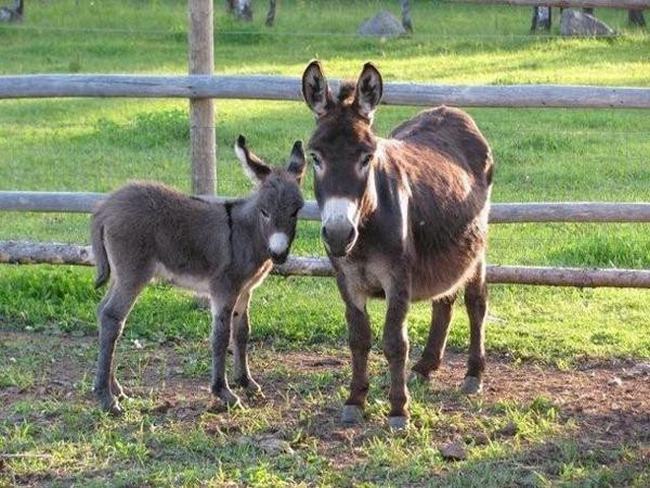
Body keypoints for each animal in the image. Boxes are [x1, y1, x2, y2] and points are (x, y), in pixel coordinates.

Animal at [91, 135, 306, 414]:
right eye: (264, 211)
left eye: (296, 211)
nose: (279, 254)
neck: (247, 233)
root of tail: (105, 206)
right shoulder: (224, 289)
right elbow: (220, 336)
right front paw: (223, 392)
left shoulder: (245, 291)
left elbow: (242, 332)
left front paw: (246, 382)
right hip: (133, 273)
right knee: (112, 317)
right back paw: (106, 397)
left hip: (120, 274)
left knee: (103, 312)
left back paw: (114, 387)